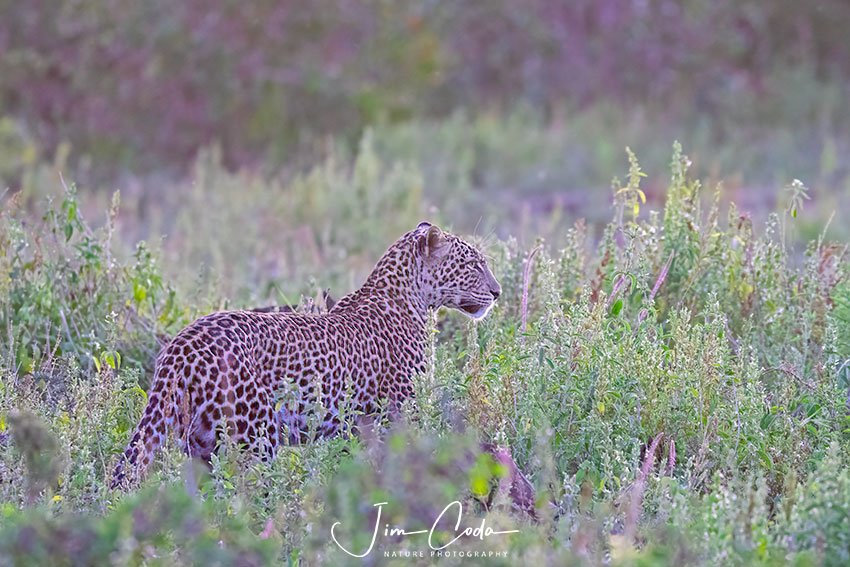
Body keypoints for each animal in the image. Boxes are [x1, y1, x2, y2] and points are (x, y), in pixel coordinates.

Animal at [110, 222, 501, 488]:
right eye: (473, 265)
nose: (497, 292)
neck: (414, 300)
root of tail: (182, 345)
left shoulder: (355, 430)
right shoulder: (399, 416)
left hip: (199, 447)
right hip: (255, 440)